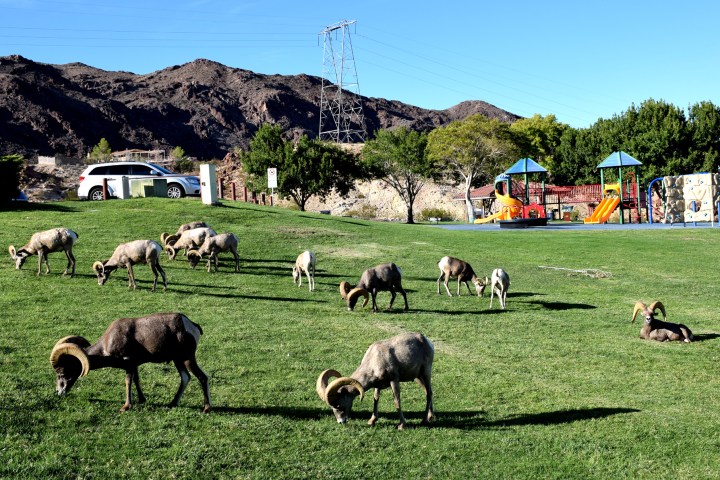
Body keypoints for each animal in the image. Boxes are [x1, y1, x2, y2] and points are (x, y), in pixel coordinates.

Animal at [50, 312, 211, 412]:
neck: (108, 344)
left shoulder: (129, 365)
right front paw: (141, 400)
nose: (59, 392)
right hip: (178, 360)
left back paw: (206, 409)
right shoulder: (135, 365)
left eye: (62, 373)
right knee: (185, 378)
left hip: (187, 358)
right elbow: (136, 380)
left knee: (202, 377)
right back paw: (172, 403)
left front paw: (126, 407)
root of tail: (192, 325)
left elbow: (128, 382)